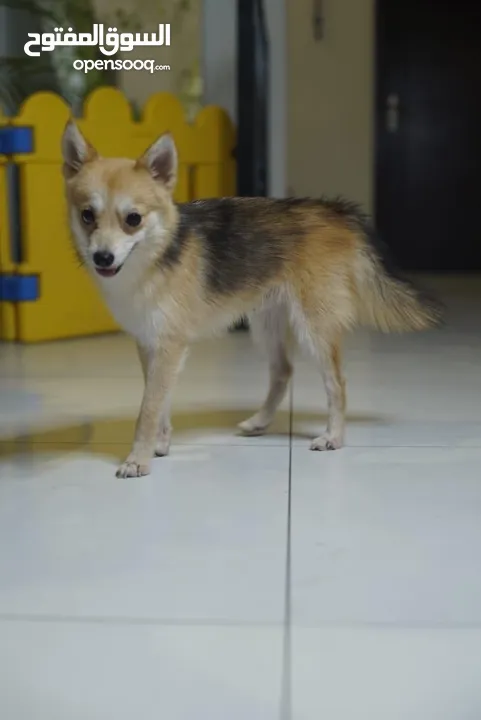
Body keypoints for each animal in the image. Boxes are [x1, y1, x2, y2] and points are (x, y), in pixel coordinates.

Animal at [61, 121, 442, 478]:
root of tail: (335, 211)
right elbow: (160, 401)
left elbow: (149, 409)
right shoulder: (150, 346)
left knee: (337, 383)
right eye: (87, 216)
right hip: (267, 323)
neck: (154, 259)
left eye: (133, 219)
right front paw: (161, 443)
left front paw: (137, 458)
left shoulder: (169, 346)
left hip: (313, 327)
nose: (102, 258)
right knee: (283, 371)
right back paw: (260, 421)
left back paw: (333, 436)